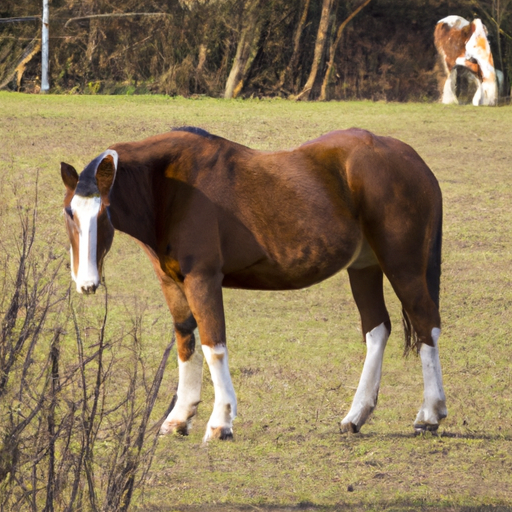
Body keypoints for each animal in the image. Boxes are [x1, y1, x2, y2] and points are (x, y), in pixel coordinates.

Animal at [61, 127, 448, 440]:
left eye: (104, 212)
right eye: (69, 213)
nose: (87, 283)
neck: (169, 188)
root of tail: (411, 159)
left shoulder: (203, 280)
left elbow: (213, 345)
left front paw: (221, 422)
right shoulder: (172, 284)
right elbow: (186, 343)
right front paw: (179, 418)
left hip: (403, 266)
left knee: (426, 324)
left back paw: (430, 414)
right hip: (365, 267)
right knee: (377, 329)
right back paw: (356, 416)